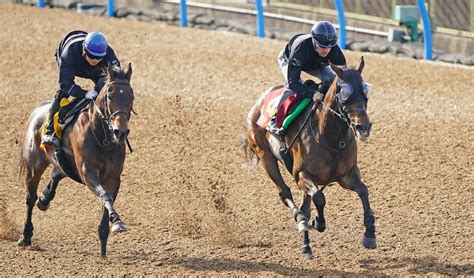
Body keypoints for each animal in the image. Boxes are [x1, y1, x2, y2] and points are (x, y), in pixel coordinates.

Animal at [17, 63, 134, 256]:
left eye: (131, 96)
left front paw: (106, 237)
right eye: (110, 96)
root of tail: (37, 111)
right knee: (30, 198)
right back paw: (25, 236)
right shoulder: (88, 172)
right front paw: (116, 220)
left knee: (57, 174)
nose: (121, 132)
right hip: (34, 167)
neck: (102, 137)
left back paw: (45, 199)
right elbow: (105, 195)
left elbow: (107, 199)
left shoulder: (113, 177)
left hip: (64, 164)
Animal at [243, 57, 376, 260]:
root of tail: (261, 99)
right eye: (343, 93)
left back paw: (306, 245)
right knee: (286, 194)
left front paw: (370, 234)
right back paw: (300, 220)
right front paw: (317, 222)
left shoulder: (347, 176)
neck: (330, 136)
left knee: (305, 203)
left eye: (365, 90)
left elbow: (363, 191)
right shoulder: (302, 175)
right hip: (265, 156)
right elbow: (319, 198)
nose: (364, 127)